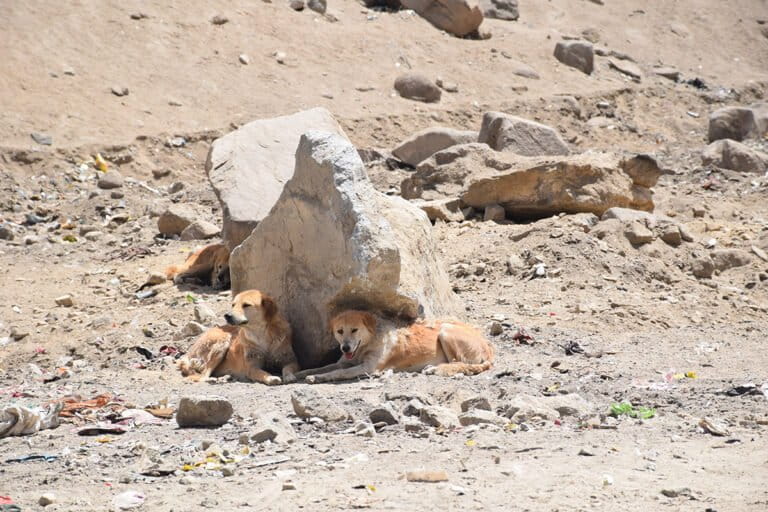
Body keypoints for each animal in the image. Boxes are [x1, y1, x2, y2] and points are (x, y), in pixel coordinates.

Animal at [292, 308, 496, 384]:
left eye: (354, 330)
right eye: (340, 331)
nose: (345, 348)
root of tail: (488, 348)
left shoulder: (368, 367)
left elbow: (337, 373)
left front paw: (318, 378)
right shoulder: (344, 361)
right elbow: (325, 366)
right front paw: (302, 373)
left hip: (445, 330)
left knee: (458, 363)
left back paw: (434, 368)